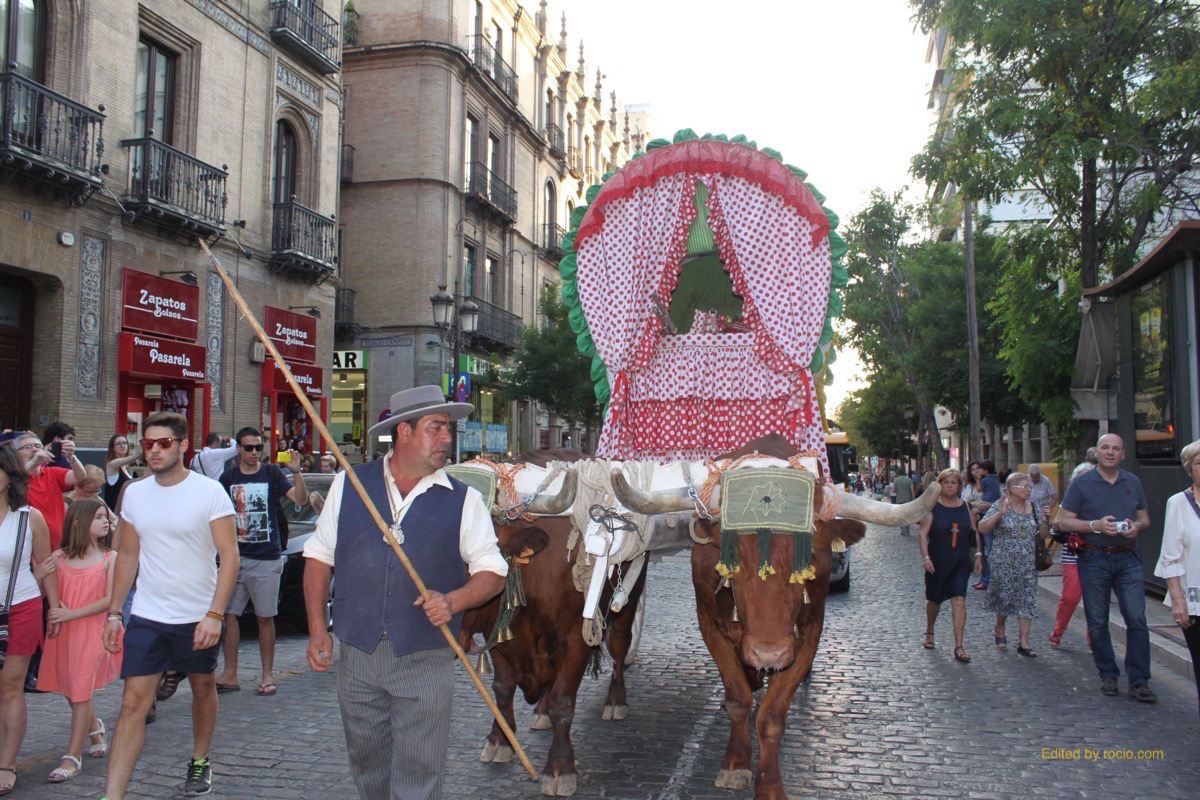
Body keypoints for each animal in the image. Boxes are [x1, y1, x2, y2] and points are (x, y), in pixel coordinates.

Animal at [612, 434, 938, 800]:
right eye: (733, 554)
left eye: (807, 554)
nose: (768, 653)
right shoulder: (709, 625)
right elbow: (737, 698)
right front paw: (736, 764)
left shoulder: (807, 636)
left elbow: (772, 716)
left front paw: (769, 785)